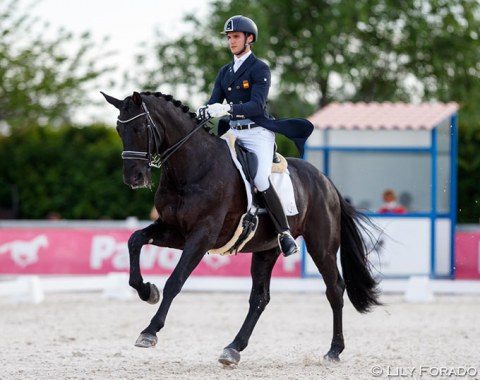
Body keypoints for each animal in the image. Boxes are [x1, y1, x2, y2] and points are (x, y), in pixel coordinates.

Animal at [103, 91, 380, 366]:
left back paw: (334, 350)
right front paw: (147, 291)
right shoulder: (175, 230)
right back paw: (233, 349)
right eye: (118, 129)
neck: (193, 167)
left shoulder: (203, 235)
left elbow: (175, 280)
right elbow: (135, 240)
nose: (133, 178)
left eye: (139, 127)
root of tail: (326, 181)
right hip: (266, 249)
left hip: (321, 246)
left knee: (334, 289)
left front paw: (149, 332)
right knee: (260, 298)